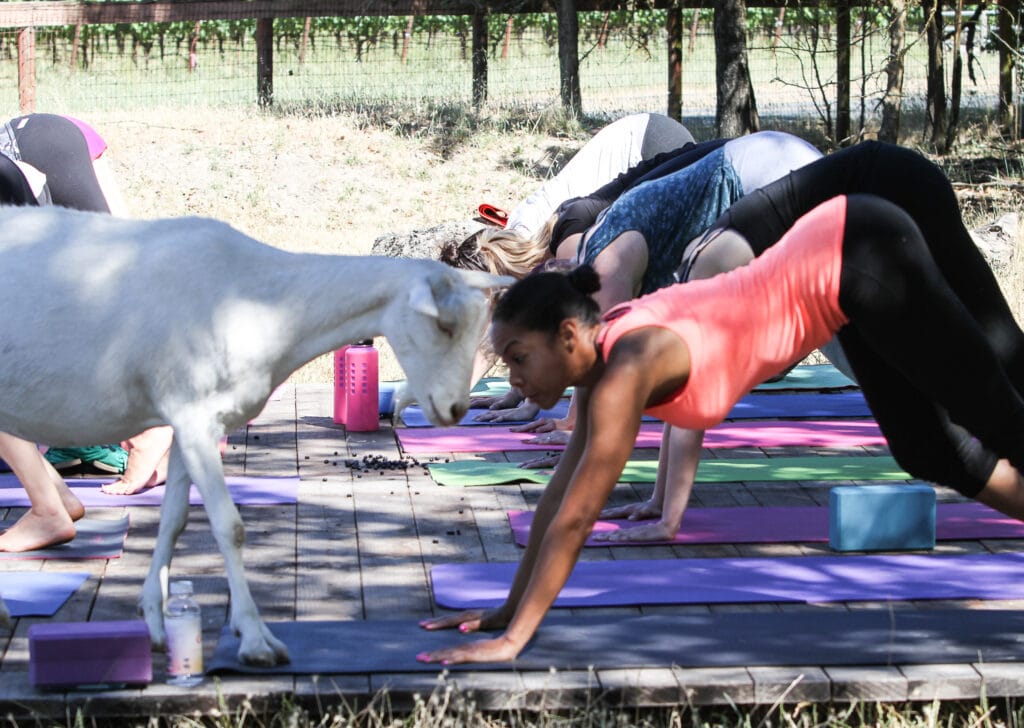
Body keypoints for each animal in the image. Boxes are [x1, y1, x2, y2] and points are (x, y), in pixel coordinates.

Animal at [0, 206, 509, 667]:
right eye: (442, 324)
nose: (455, 409)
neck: (264, 304)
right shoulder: (194, 417)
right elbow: (231, 526)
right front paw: (255, 639)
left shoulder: (187, 421)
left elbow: (174, 520)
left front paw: (156, 624)